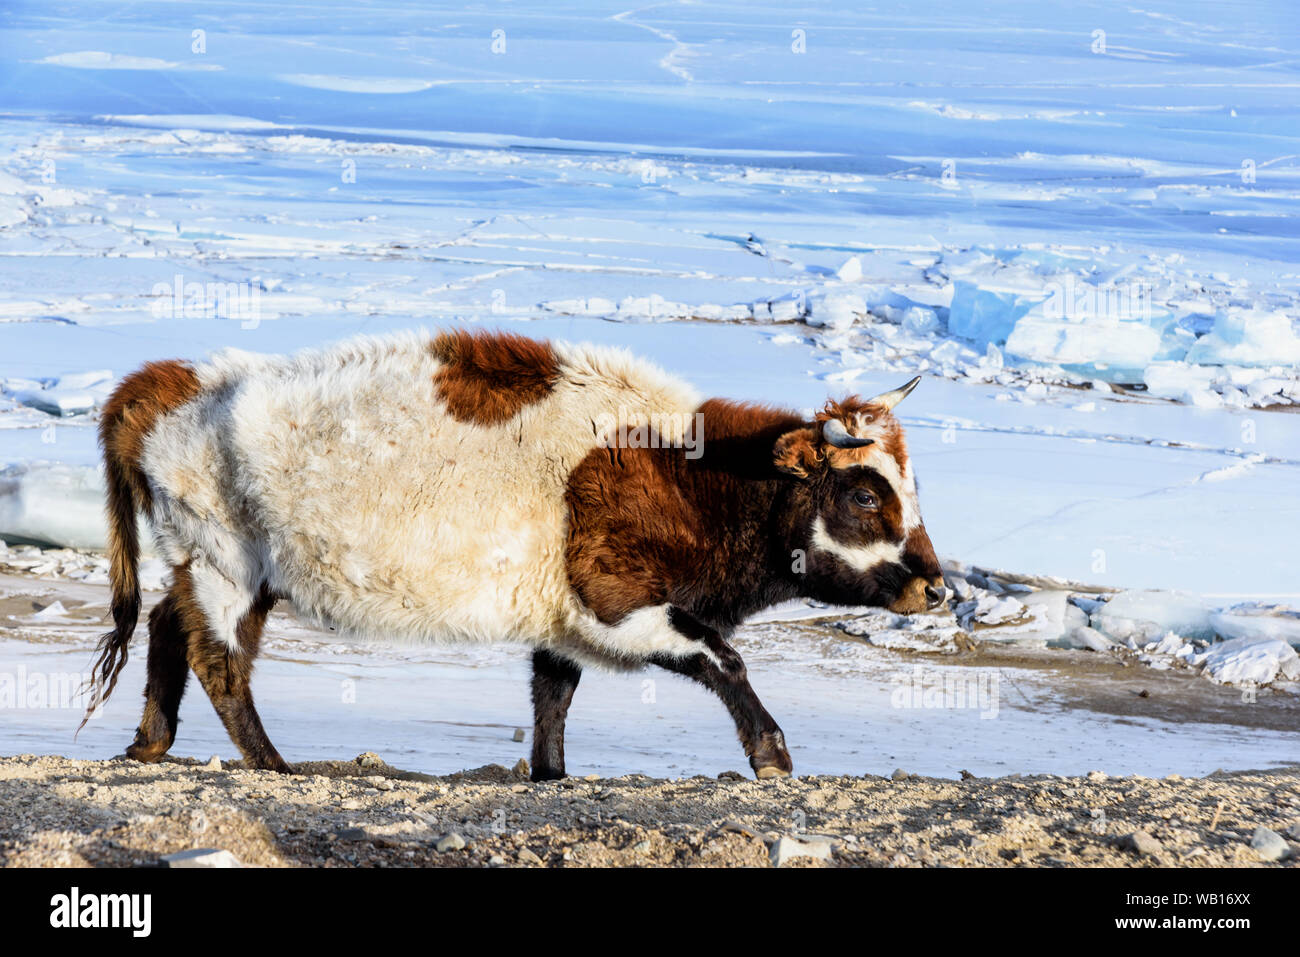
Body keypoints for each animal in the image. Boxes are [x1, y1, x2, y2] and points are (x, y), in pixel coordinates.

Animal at [83, 328, 946, 780]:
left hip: (208, 568)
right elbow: (721, 656)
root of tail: (170, 382)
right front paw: (772, 753)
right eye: (866, 495)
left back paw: (151, 742)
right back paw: (271, 761)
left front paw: (552, 772)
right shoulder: (617, 603)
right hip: (229, 569)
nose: (936, 587)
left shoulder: (562, 619)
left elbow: (552, 692)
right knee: (220, 661)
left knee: (165, 625)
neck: (686, 470)